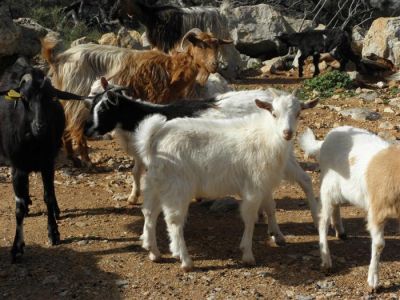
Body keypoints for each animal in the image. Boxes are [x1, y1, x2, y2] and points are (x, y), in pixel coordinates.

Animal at [0, 63, 83, 262]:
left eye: (51, 98)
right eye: (23, 97)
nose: (41, 126)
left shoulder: (47, 164)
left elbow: (48, 196)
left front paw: (53, 232)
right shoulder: (18, 167)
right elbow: (19, 207)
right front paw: (17, 247)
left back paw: (55, 210)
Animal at [136, 93, 318, 270]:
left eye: (298, 113)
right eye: (274, 114)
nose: (287, 133)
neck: (266, 137)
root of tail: (155, 138)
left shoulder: (264, 184)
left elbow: (270, 207)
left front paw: (277, 235)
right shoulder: (253, 188)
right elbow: (249, 218)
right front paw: (247, 254)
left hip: (156, 184)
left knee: (150, 213)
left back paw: (153, 251)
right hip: (177, 187)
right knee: (174, 221)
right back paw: (185, 260)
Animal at [300, 125, 396, 290]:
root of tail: (327, 139)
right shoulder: (377, 210)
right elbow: (379, 244)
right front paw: (373, 281)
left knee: (336, 206)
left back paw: (340, 231)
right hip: (327, 187)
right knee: (323, 221)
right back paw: (326, 261)